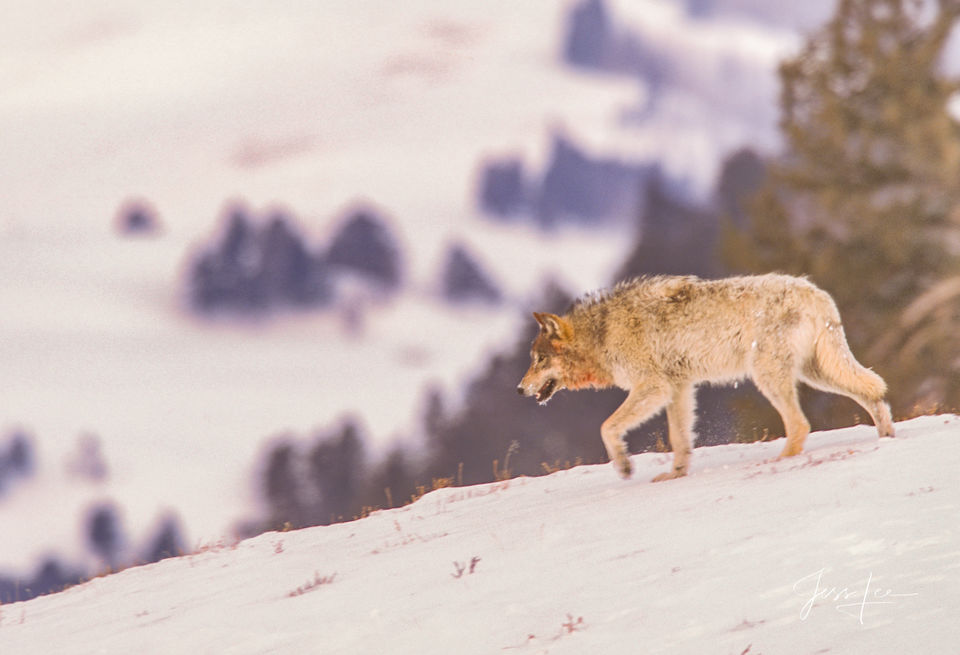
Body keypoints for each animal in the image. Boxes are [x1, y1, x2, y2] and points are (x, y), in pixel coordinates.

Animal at [517, 274, 895, 481]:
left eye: (538, 360)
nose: (519, 390)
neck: (602, 333)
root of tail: (817, 293)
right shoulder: (679, 388)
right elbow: (680, 439)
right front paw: (676, 474)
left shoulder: (654, 387)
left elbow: (606, 427)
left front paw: (624, 467)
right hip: (817, 373)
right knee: (872, 390)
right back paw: (887, 436)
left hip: (769, 376)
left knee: (801, 423)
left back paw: (781, 459)